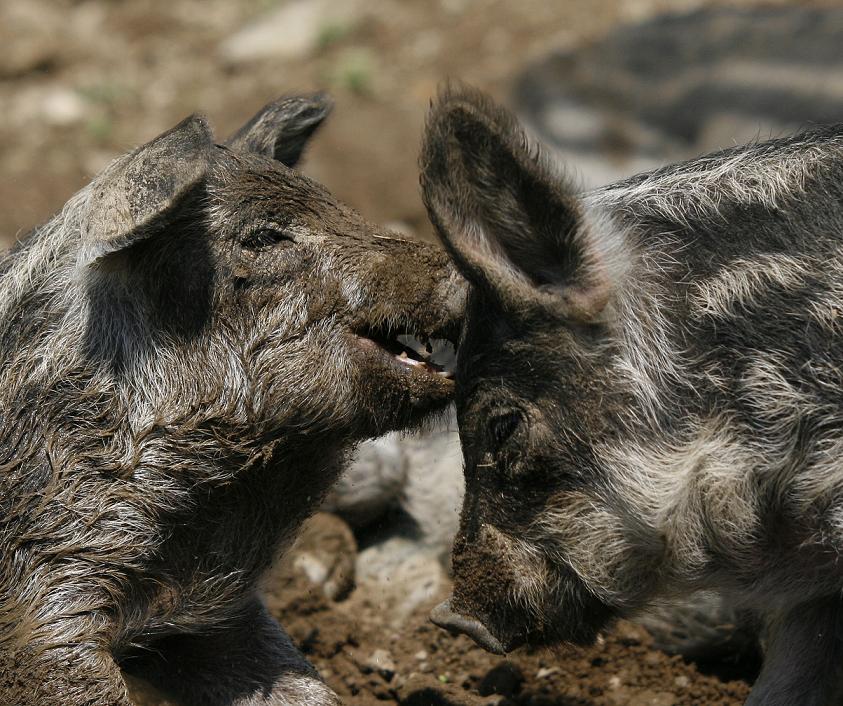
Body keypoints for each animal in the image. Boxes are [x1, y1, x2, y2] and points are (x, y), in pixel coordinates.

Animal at [0, 93, 462, 704]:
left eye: (336, 203)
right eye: (263, 237)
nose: (466, 276)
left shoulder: (218, 618)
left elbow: (301, 685)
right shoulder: (44, 589)